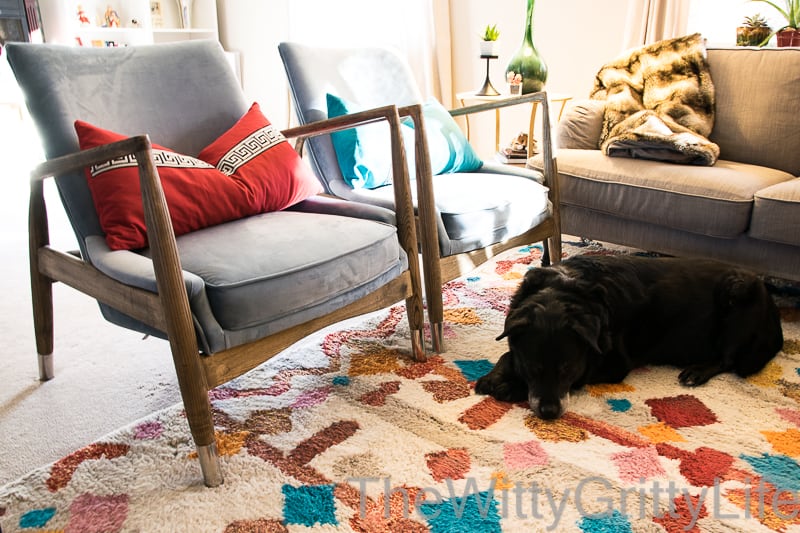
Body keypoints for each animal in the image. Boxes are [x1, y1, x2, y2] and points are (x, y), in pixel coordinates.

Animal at [476, 255, 780, 420]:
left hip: (739, 294)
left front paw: (510, 386)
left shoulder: (613, 364)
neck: (567, 291)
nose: (550, 412)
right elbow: (508, 353)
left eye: (568, 369)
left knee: (728, 358)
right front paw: (495, 377)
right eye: (532, 367)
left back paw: (697, 372)